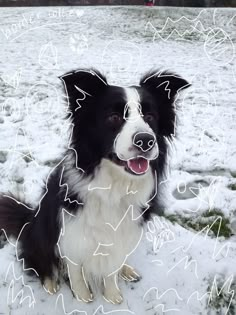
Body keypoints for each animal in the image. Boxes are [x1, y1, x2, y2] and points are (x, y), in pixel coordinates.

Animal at [0, 68, 189, 304]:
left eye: (150, 117)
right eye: (114, 117)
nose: (145, 141)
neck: (114, 187)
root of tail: (29, 217)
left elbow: (111, 268)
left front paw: (112, 294)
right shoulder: (70, 233)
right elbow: (75, 269)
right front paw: (82, 296)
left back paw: (126, 269)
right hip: (41, 230)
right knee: (38, 260)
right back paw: (50, 282)